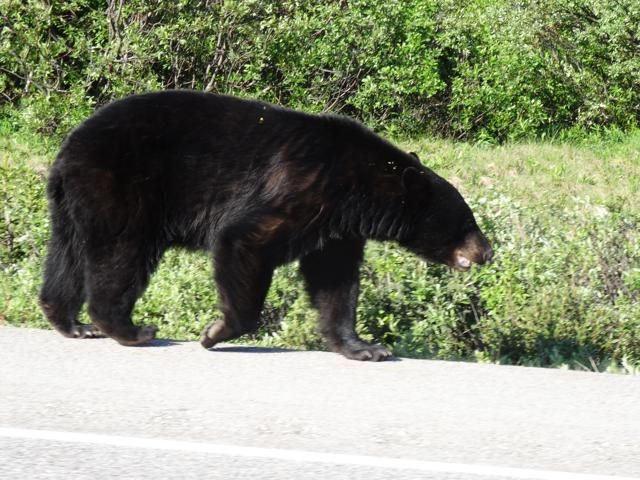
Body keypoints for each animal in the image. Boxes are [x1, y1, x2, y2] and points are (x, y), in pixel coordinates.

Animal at [39, 90, 493, 361]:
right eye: (467, 220)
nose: (487, 251)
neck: (358, 185)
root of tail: (68, 150)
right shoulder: (304, 187)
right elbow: (244, 238)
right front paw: (215, 331)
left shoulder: (336, 227)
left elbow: (335, 282)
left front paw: (364, 346)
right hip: (123, 189)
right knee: (120, 253)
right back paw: (130, 329)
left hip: (72, 203)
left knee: (66, 257)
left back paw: (73, 324)